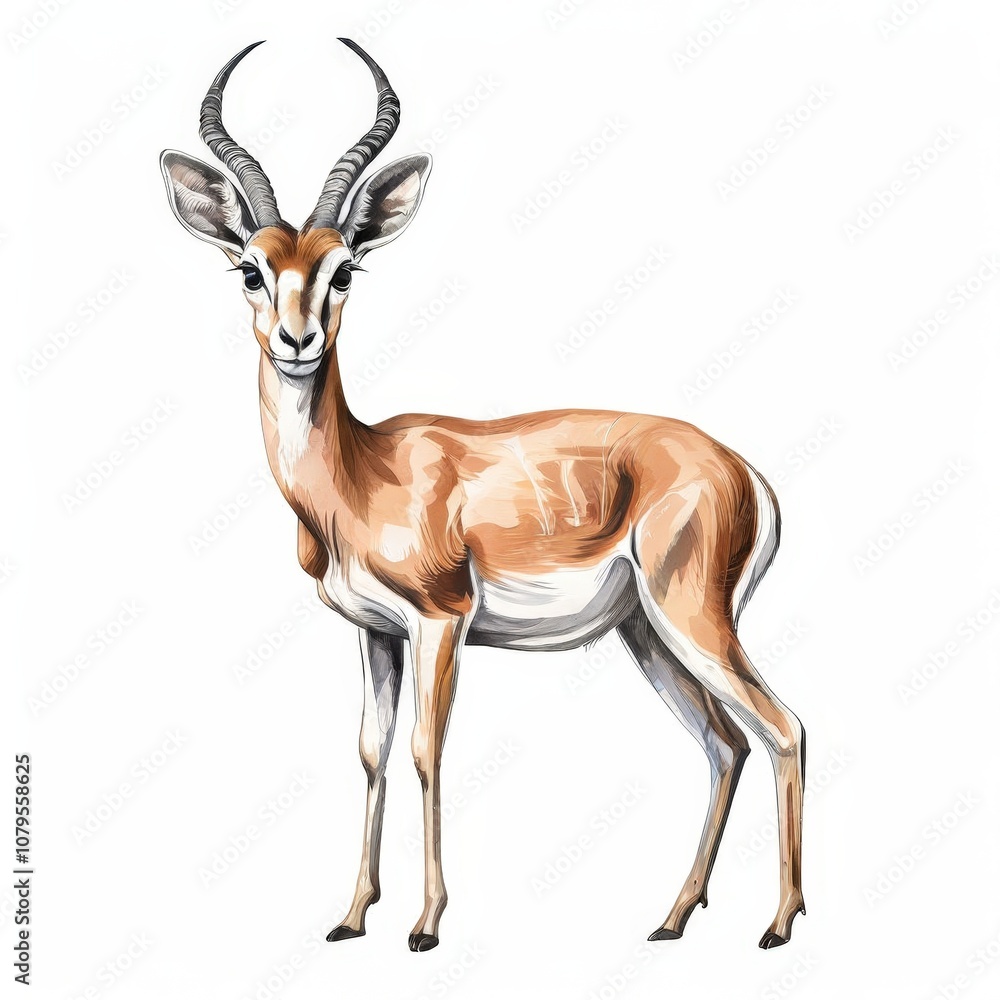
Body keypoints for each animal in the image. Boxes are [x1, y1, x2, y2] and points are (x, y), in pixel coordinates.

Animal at [160, 39, 806, 952]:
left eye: (344, 269)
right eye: (250, 269)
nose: (297, 339)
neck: (359, 472)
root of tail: (742, 468)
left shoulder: (442, 620)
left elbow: (428, 750)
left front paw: (426, 924)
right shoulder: (376, 634)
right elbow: (372, 751)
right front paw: (351, 916)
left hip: (692, 618)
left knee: (782, 728)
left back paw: (779, 924)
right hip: (647, 633)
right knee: (725, 745)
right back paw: (673, 918)